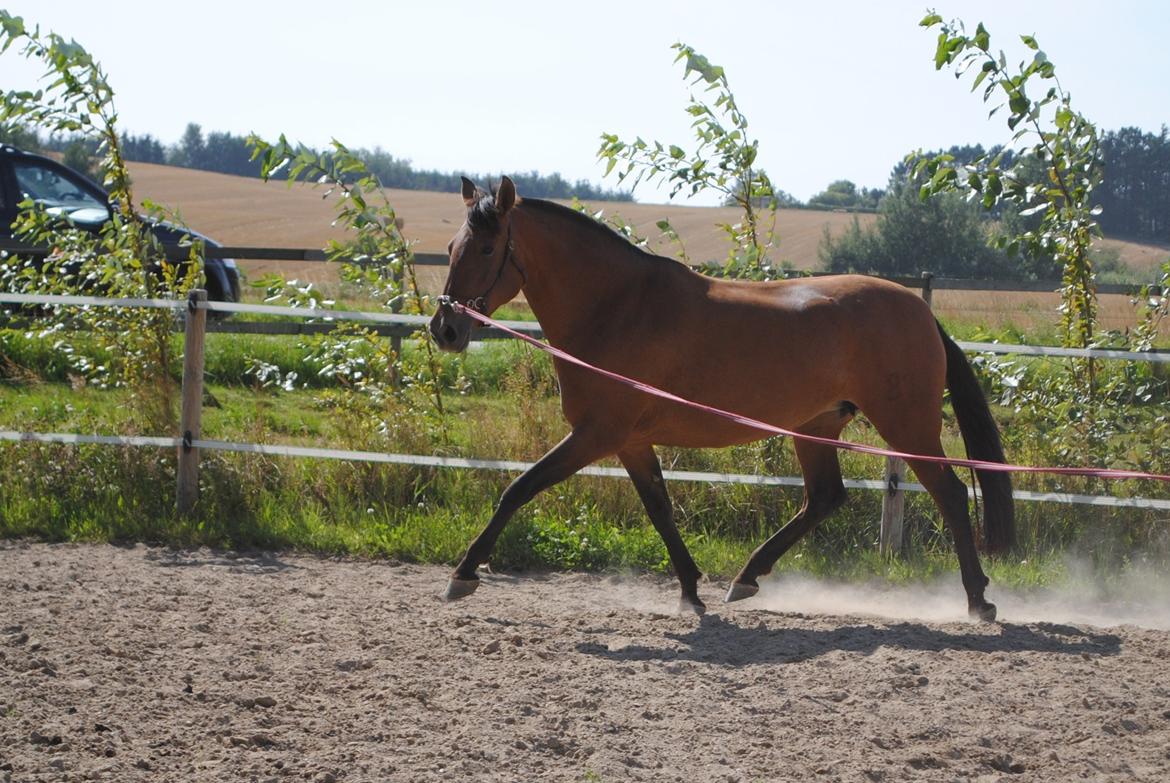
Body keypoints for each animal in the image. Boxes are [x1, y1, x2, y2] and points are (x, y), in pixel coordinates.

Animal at [430, 176, 1015, 622]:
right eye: (454, 248)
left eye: (487, 248)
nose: (445, 329)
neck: (618, 306)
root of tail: (920, 311)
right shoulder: (629, 441)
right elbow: (660, 509)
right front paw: (691, 592)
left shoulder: (596, 434)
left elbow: (519, 489)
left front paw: (463, 574)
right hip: (817, 426)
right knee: (825, 497)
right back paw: (746, 578)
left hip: (907, 425)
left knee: (950, 493)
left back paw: (978, 601)